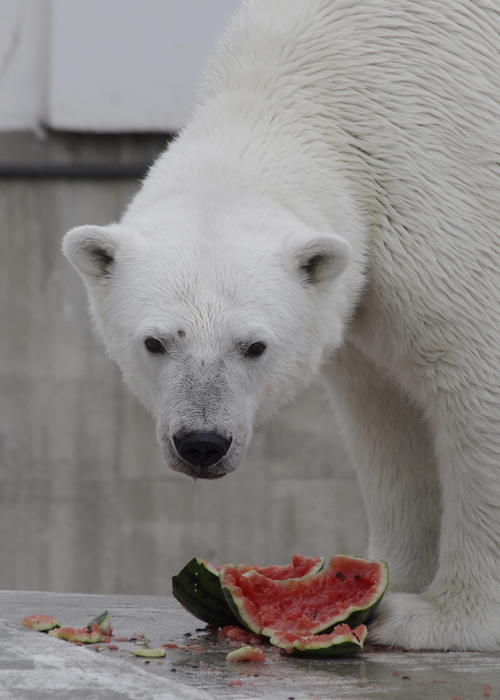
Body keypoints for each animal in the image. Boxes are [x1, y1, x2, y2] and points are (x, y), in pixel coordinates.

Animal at [63, 0, 500, 652]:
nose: (201, 444)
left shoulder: (442, 198)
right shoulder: (367, 291)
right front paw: (385, 582)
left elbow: (475, 383)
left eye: (254, 346)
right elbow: (385, 415)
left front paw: (440, 617)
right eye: (155, 341)